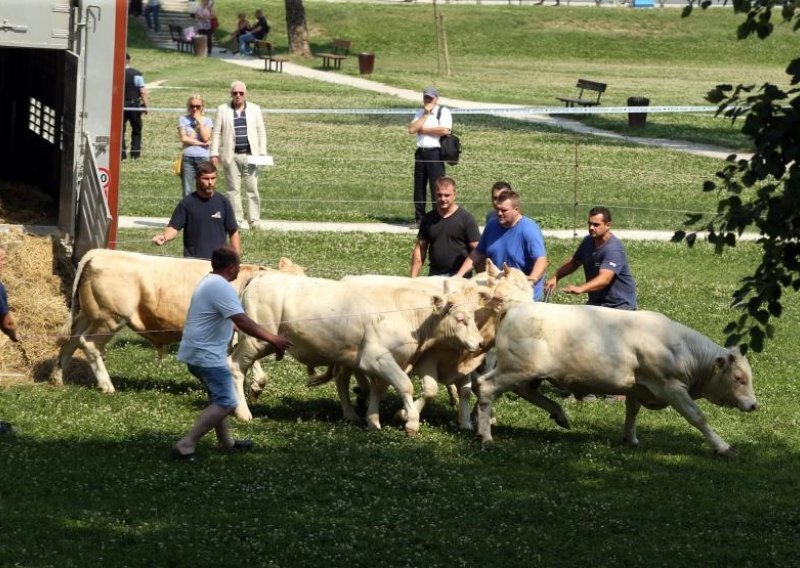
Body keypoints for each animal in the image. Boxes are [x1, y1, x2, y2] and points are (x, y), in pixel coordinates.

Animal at [476, 304, 756, 454]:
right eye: (739, 378)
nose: (754, 405)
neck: (679, 347)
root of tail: (515, 308)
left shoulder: (637, 387)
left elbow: (632, 412)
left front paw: (630, 438)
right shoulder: (671, 387)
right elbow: (697, 417)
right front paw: (722, 446)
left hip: (528, 373)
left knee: (526, 391)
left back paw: (560, 414)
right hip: (516, 369)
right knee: (485, 387)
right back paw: (486, 436)